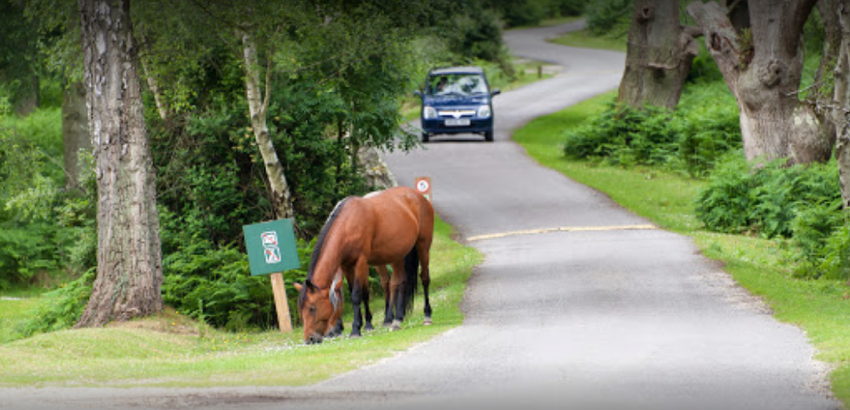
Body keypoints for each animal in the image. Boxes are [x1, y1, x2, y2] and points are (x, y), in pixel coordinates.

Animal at [294, 186, 438, 342]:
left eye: (312, 308)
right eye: (301, 310)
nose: (310, 339)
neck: (347, 224)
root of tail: (418, 196)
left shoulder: (361, 262)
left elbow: (358, 294)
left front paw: (356, 329)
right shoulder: (346, 266)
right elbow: (354, 292)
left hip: (422, 246)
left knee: (424, 278)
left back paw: (426, 315)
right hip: (398, 255)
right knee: (399, 282)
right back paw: (397, 319)